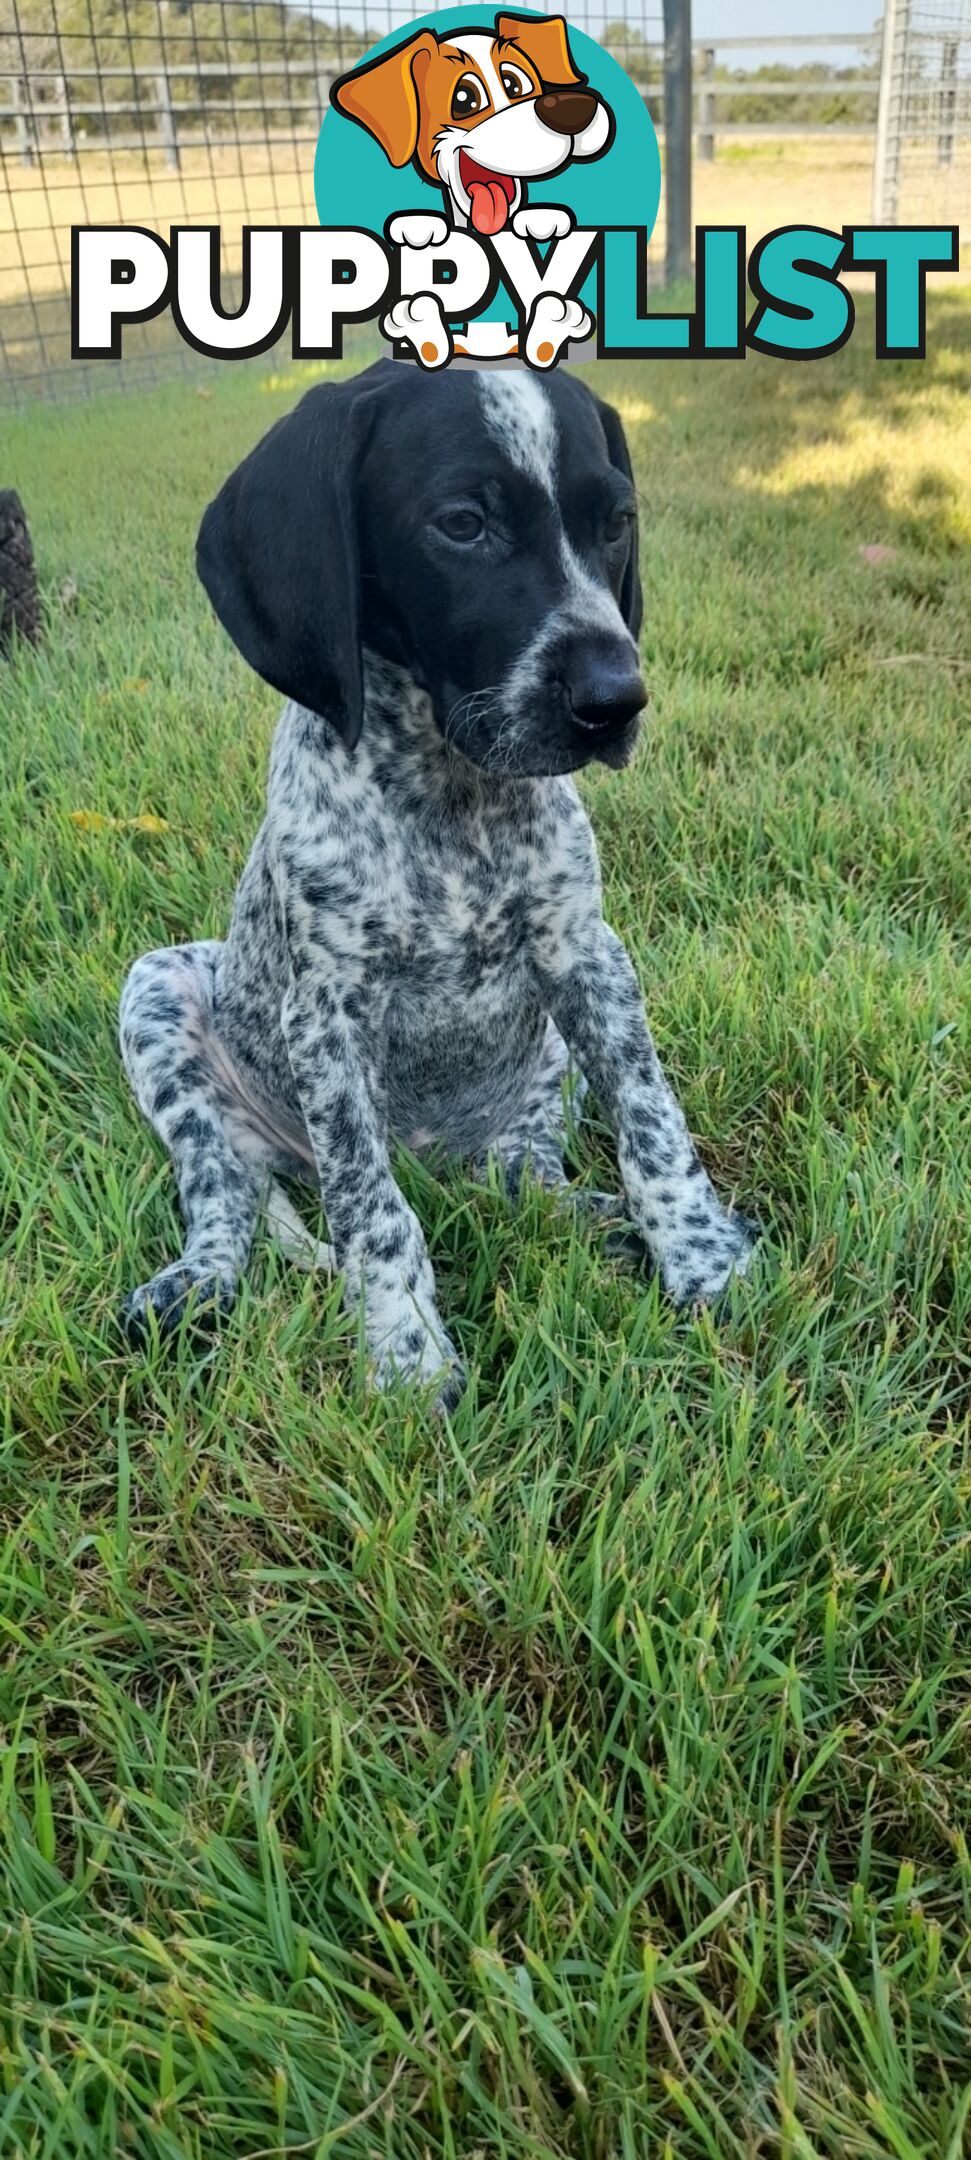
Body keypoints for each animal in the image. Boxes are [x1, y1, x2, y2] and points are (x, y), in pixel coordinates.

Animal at [119, 362, 759, 1408]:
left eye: (616, 520)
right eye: (463, 525)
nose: (616, 700)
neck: (454, 794)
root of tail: (438, 1163)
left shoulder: (589, 960)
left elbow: (652, 1122)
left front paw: (706, 1263)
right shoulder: (327, 1019)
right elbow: (370, 1208)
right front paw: (407, 1353)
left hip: (544, 1067)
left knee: (521, 1178)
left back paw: (594, 1224)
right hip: (161, 998)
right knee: (228, 1194)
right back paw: (194, 1284)